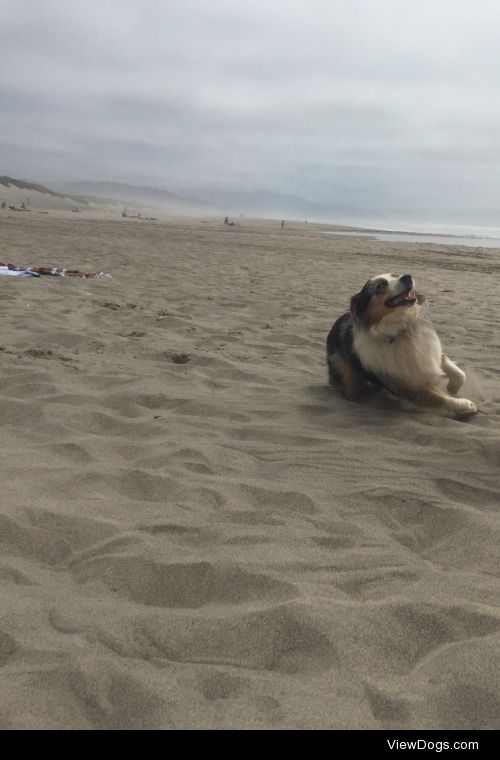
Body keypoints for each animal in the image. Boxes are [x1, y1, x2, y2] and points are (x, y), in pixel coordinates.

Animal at [326, 274, 478, 416]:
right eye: (380, 285)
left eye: (395, 275)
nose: (407, 276)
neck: (401, 332)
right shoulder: (404, 385)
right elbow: (438, 398)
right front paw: (466, 404)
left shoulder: (430, 354)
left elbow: (460, 373)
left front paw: (453, 388)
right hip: (347, 373)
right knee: (351, 391)